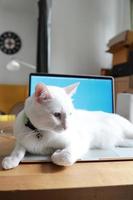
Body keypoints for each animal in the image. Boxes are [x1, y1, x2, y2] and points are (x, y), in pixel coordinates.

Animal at [2, 82, 133, 170]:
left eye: (70, 114)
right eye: (57, 115)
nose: (67, 127)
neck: (39, 131)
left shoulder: (79, 141)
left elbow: (65, 157)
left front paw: (57, 153)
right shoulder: (21, 140)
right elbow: (18, 150)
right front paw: (11, 160)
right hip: (123, 142)